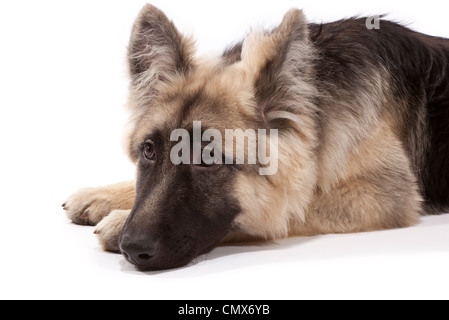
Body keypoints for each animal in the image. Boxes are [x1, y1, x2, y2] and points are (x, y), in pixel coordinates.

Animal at [63, 5, 448, 270]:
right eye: (148, 151)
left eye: (208, 160)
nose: (132, 246)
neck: (314, 103)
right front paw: (104, 195)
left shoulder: (386, 193)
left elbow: (286, 207)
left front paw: (115, 219)